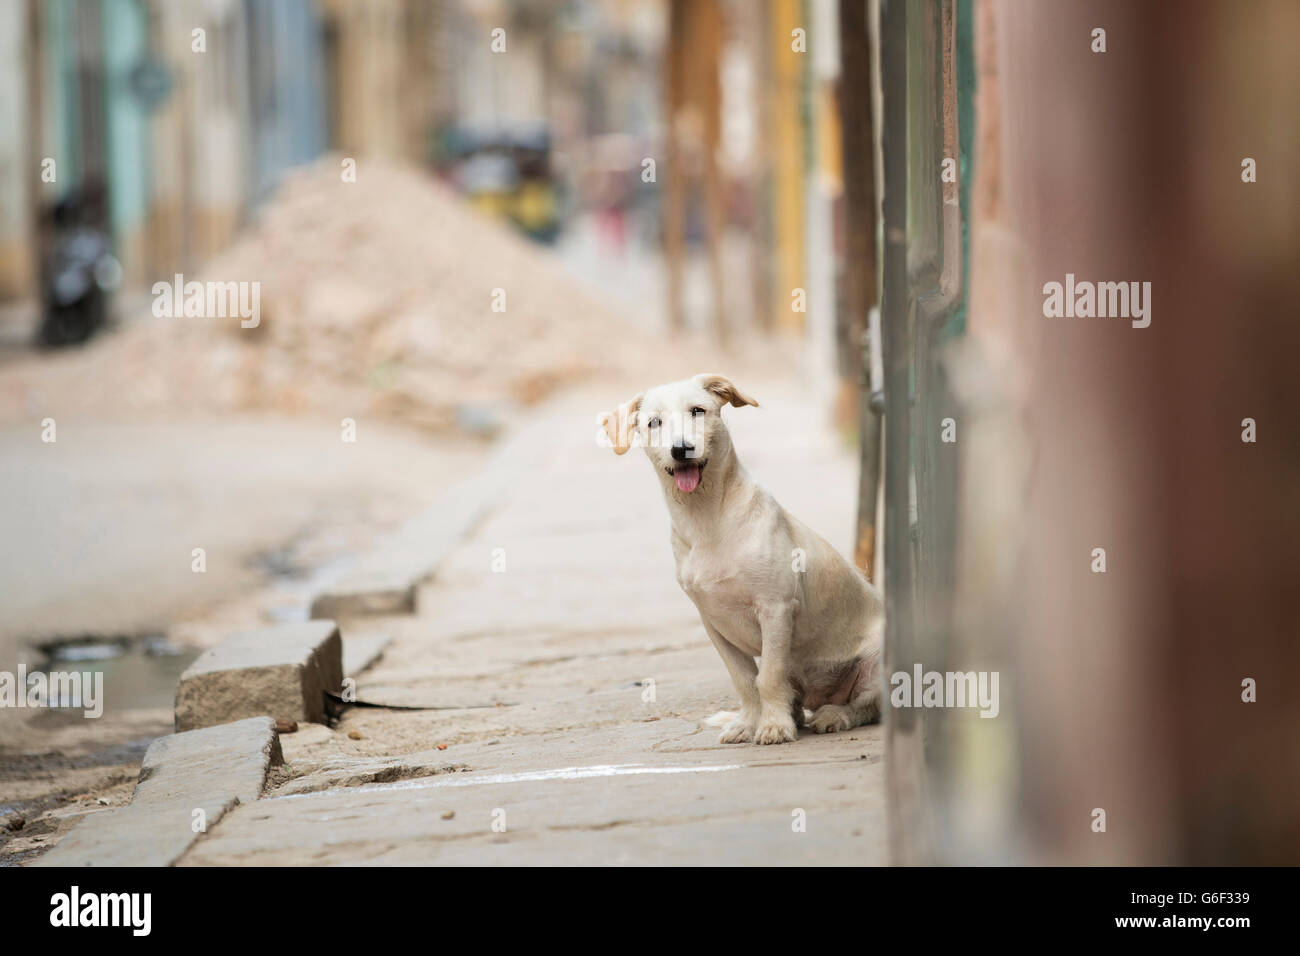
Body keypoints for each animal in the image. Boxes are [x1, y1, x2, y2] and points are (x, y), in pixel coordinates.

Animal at [598, 374, 883, 749]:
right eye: (654, 422)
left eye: (698, 411)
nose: (681, 449)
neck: (707, 518)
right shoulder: (714, 623)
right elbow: (746, 679)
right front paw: (748, 723)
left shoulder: (775, 609)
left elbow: (768, 677)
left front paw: (773, 726)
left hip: (878, 662)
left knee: (865, 706)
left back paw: (834, 716)